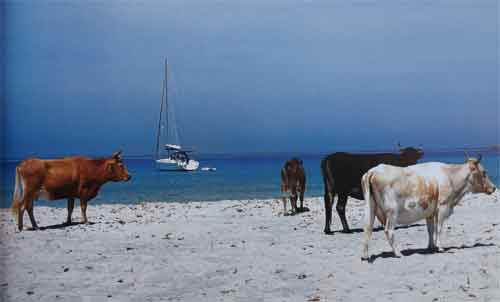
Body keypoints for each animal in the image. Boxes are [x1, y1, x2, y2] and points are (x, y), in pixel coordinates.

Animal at [360, 156, 496, 260]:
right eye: (484, 172)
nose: (494, 187)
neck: (450, 176)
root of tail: (374, 170)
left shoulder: (430, 212)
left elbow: (430, 229)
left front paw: (431, 246)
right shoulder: (443, 207)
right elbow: (439, 228)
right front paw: (440, 247)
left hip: (371, 207)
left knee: (367, 228)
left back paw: (365, 255)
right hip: (392, 212)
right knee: (389, 230)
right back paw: (398, 253)